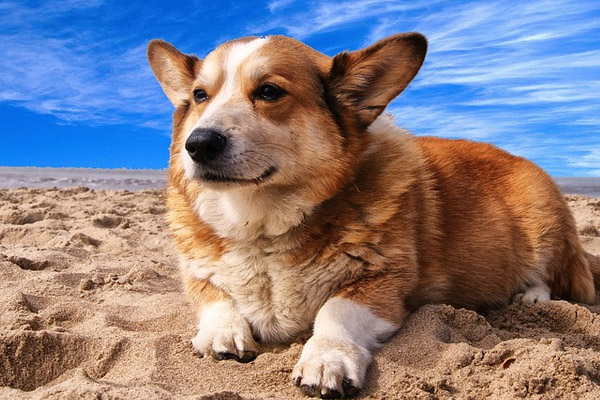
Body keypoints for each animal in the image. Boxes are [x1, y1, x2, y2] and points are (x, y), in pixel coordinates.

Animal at [146, 32, 600, 398]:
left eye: (270, 91)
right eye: (200, 96)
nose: (197, 145)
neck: (260, 222)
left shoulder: (381, 284)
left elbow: (336, 311)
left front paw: (325, 360)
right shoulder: (197, 273)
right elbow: (216, 298)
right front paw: (221, 332)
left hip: (541, 220)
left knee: (552, 275)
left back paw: (531, 297)